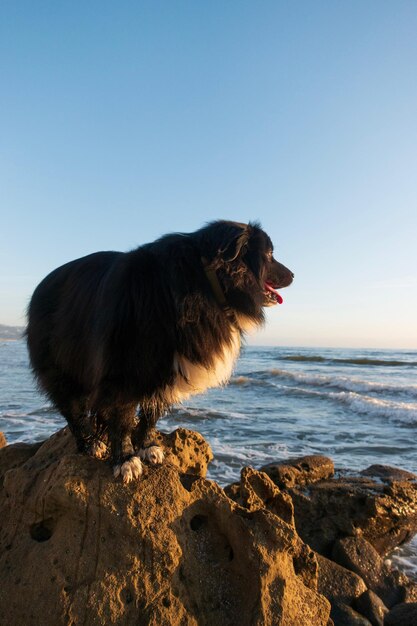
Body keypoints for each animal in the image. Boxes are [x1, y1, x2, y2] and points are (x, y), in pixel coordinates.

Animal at [26, 217, 292, 480]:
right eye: (270, 255)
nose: (293, 275)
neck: (205, 281)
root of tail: (40, 287)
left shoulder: (167, 367)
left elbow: (152, 412)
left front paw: (146, 446)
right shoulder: (125, 366)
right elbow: (122, 415)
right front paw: (125, 459)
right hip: (62, 362)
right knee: (72, 408)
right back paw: (90, 443)